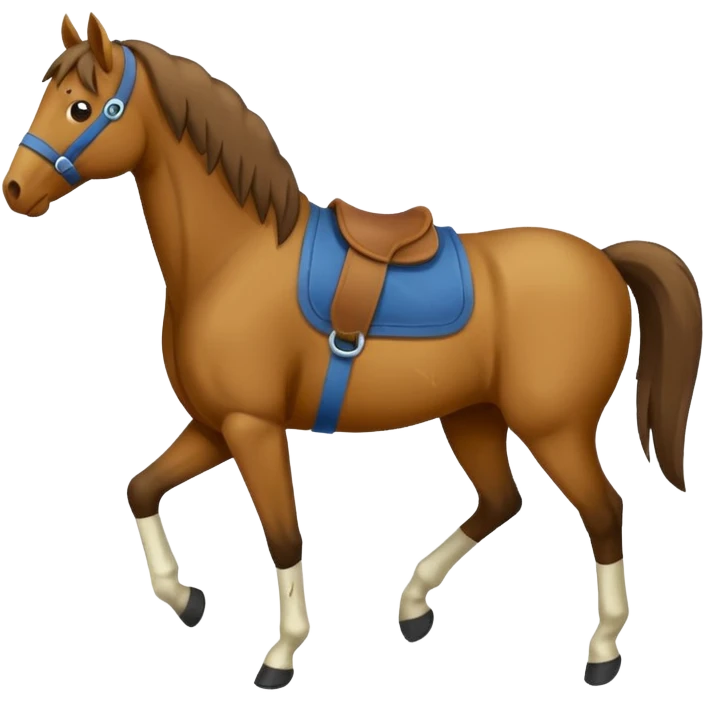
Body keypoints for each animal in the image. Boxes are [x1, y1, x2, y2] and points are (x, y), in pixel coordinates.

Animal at [3, 12, 701, 691]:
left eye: (81, 109)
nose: (13, 190)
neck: (234, 260)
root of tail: (605, 259)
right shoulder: (213, 425)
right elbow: (141, 489)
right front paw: (184, 598)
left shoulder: (252, 428)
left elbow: (283, 535)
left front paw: (280, 655)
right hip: (472, 415)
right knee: (502, 500)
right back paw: (414, 606)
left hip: (554, 428)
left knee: (604, 514)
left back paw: (602, 652)